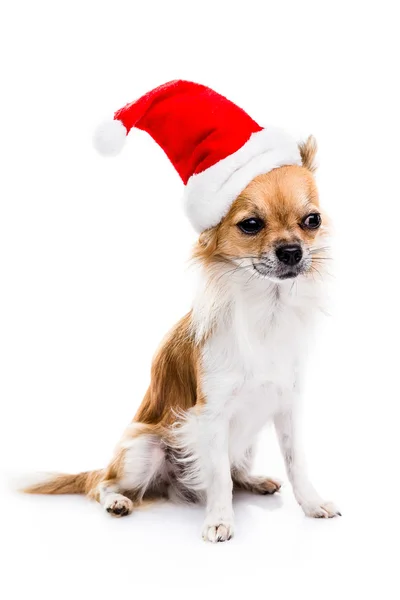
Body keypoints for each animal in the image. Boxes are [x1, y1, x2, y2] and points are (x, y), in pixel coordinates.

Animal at [22, 81, 340, 544]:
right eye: (250, 225)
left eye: (312, 220)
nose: (292, 251)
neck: (266, 309)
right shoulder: (210, 416)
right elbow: (219, 478)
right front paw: (220, 520)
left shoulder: (286, 406)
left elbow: (295, 462)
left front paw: (313, 504)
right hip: (144, 447)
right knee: (103, 484)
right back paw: (118, 501)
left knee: (234, 470)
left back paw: (254, 481)